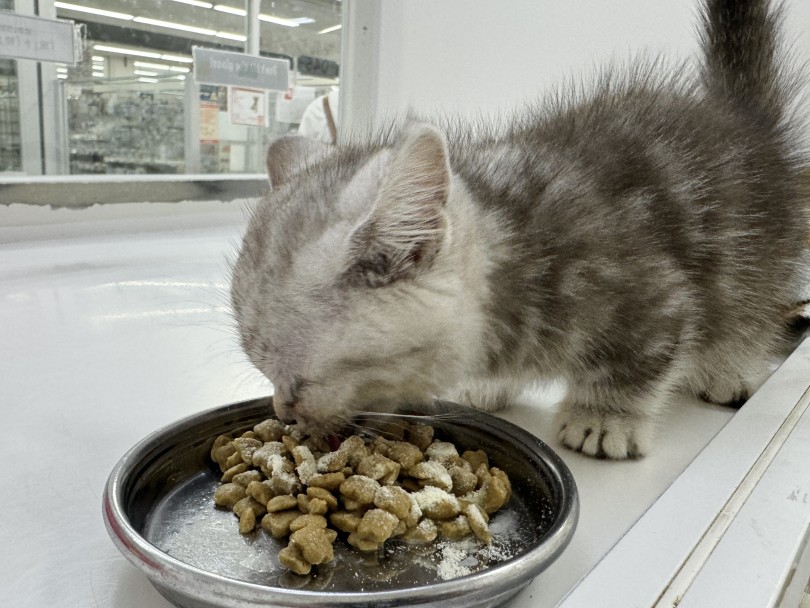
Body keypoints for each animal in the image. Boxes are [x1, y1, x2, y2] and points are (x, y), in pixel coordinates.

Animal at [230, 0, 804, 458]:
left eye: (298, 381)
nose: (283, 412)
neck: (516, 243)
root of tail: (743, 117)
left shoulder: (652, 293)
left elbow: (639, 357)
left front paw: (605, 416)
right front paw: (490, 385)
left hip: (758, 255)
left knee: (752, 310)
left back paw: (728, 368)